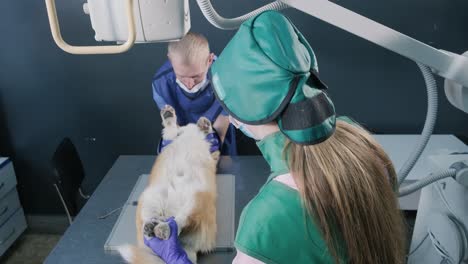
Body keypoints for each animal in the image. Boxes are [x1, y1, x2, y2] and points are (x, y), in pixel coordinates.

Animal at [118, 105, 218, 264]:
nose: (201, 122)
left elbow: (206, 132)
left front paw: (204, 124)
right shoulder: (172, 137)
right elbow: (171, 128)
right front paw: (169, 114)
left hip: (196, 200)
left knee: (180, 221)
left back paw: (163, 229)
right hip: (150, 197)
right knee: (154, 219)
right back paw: (151, 226)